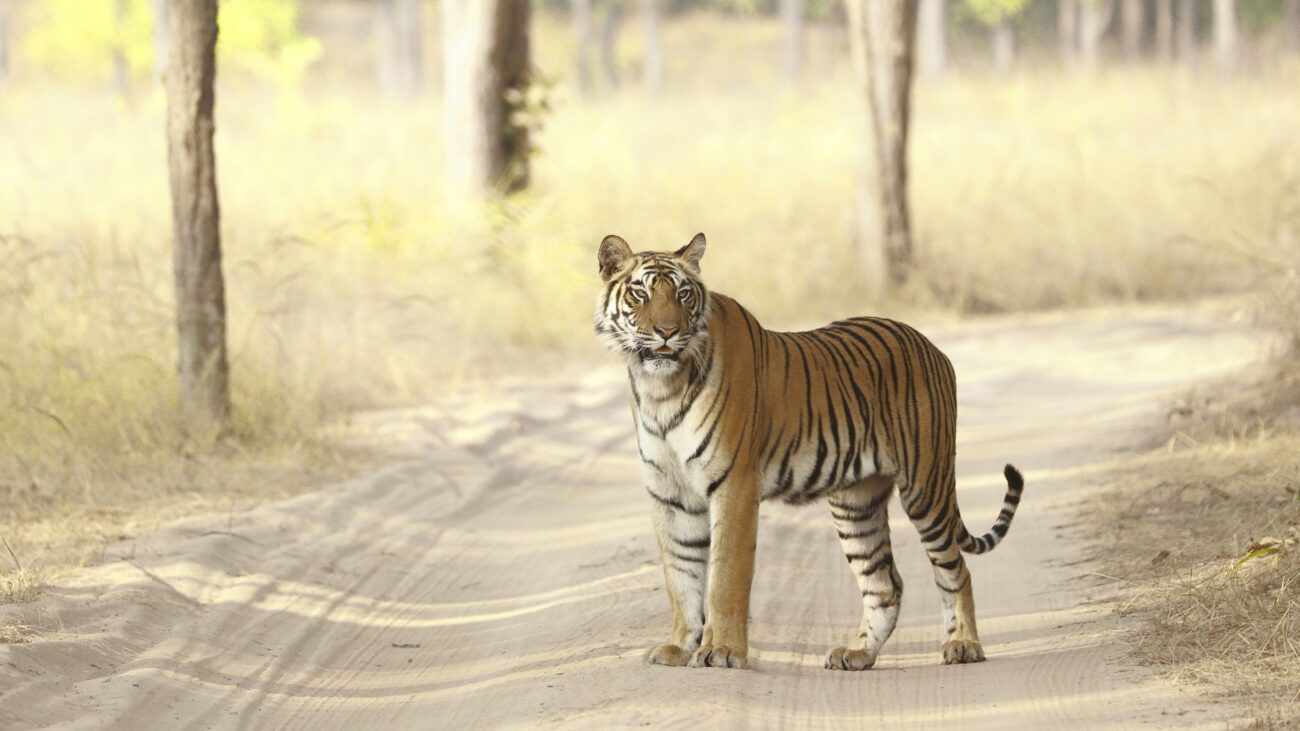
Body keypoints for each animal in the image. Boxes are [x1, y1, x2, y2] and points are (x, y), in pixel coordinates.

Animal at [593, 232, 1025, 671]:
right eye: (641, 293)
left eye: (683, 294)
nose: (667, 331)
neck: (660, 390)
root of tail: (929, 344)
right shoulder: (670, 494)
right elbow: (680, 578)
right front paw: (679, 647)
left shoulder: (734, 486)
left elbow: (725, 576)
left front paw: (722, 650)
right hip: (857, 504)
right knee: (885, 584)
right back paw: (857, 653)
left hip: (926, 487)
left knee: (956, 571)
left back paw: (963, 645)